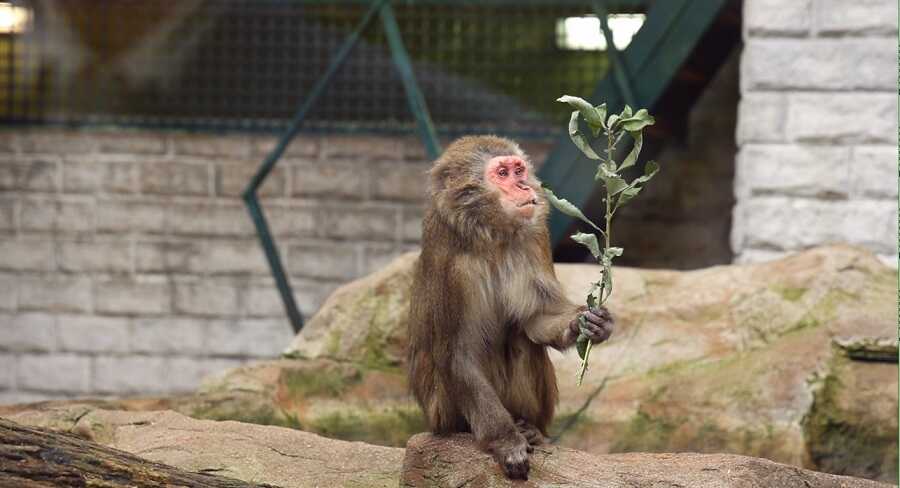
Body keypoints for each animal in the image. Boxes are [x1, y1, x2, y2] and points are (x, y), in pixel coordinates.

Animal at [406, 135, 612, 478]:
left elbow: (537, 318)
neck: (490, 234)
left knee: (521, 339)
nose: (525, 186)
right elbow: (457, 355)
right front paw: (505, 442)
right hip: (442, 415)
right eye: (502, 173)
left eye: (518, 170)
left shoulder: (535, 237)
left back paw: (531, 428)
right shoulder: (451, 267)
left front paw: (588, 323)